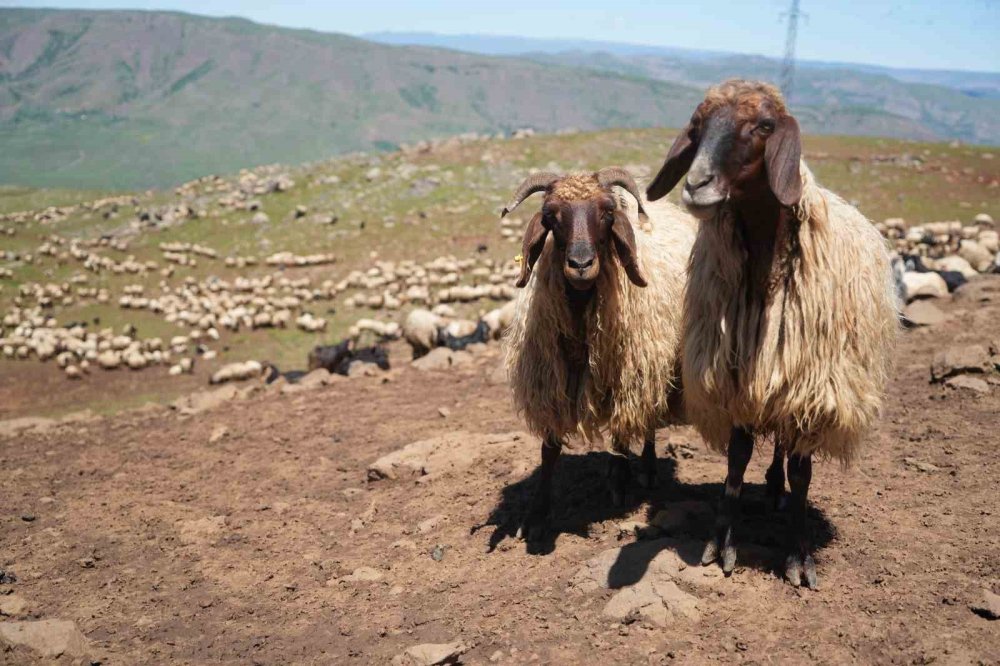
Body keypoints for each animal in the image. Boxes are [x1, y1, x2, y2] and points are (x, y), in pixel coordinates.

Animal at [500, 167, 696, 540]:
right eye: (550, 215)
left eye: (607, 213)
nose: (580, 264)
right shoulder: (552, 381)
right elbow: (548, 449)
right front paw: (535, 514)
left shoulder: (626, 374)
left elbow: (620, 435)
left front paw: (619, 485)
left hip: (651, 364)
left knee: (646, 419)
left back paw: (647, 470)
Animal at [648, 81, 900, 588]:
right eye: (697, 126)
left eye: (764, 126)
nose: (696, 185)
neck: (767, 266)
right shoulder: (737, 376)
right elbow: (736, 459)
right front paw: (720, 544)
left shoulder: (812, 389)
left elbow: (803, 473)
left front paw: (798, 556)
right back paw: (770, 487)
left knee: (788, 449)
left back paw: (779, 490)